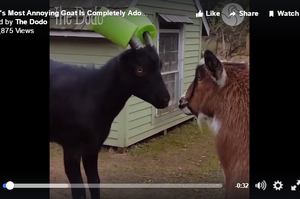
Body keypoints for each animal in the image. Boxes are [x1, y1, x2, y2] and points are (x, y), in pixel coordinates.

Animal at [50, 40, 170, 199]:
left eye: (160, 66)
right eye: (140, 69)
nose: (165, 99)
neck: (91, 93)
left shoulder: (93, 146)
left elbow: (94, 181)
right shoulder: (71, 147)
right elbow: (79, 190)